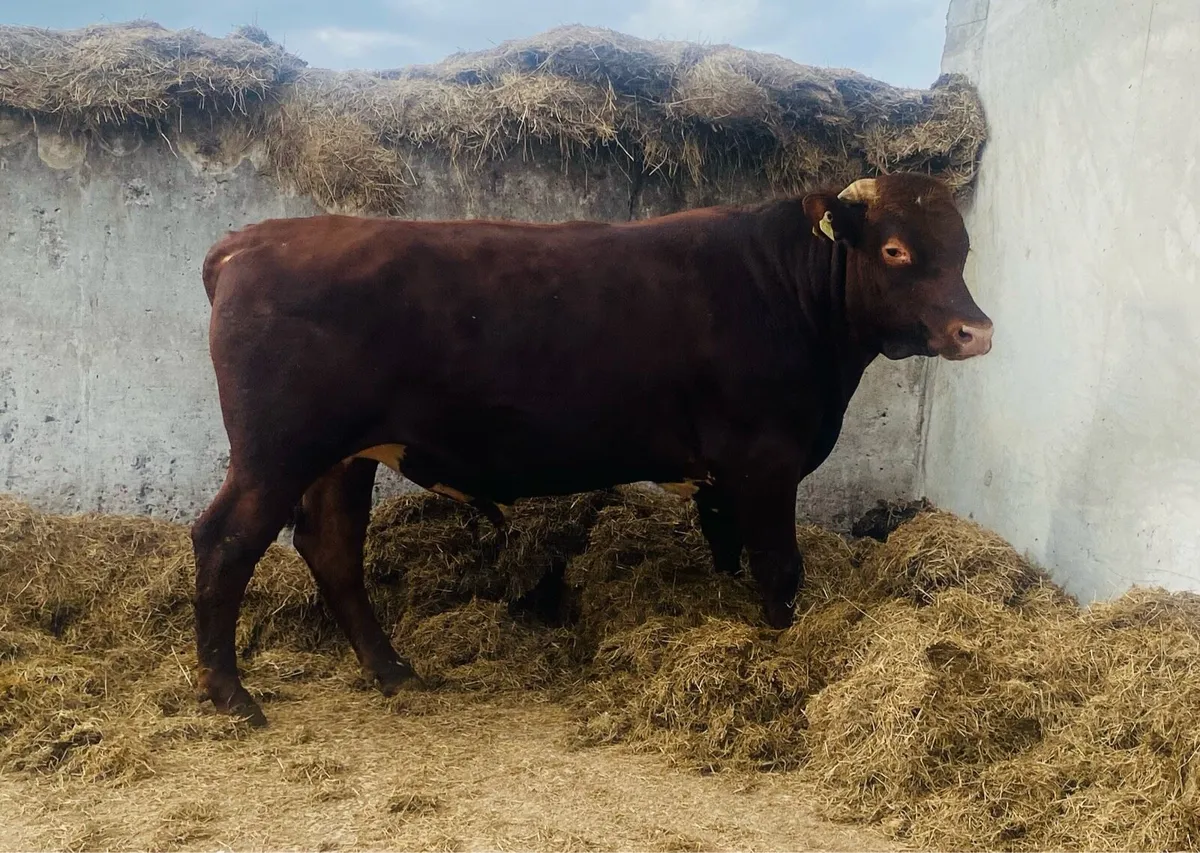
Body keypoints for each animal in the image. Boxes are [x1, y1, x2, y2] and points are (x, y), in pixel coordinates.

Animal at [191, 172, 992, 725]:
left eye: (962, 250)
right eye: (895, 249)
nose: (976, 331)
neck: (790, 293)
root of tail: (249, 240)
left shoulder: (722, 475)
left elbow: (728, 548)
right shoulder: (765, 459)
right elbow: (778, 565)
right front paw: (783, 642)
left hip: (340, 457)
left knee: (331, 547)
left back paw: (391, 670)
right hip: (274, 454)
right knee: (225, 541)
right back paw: (230, 693)